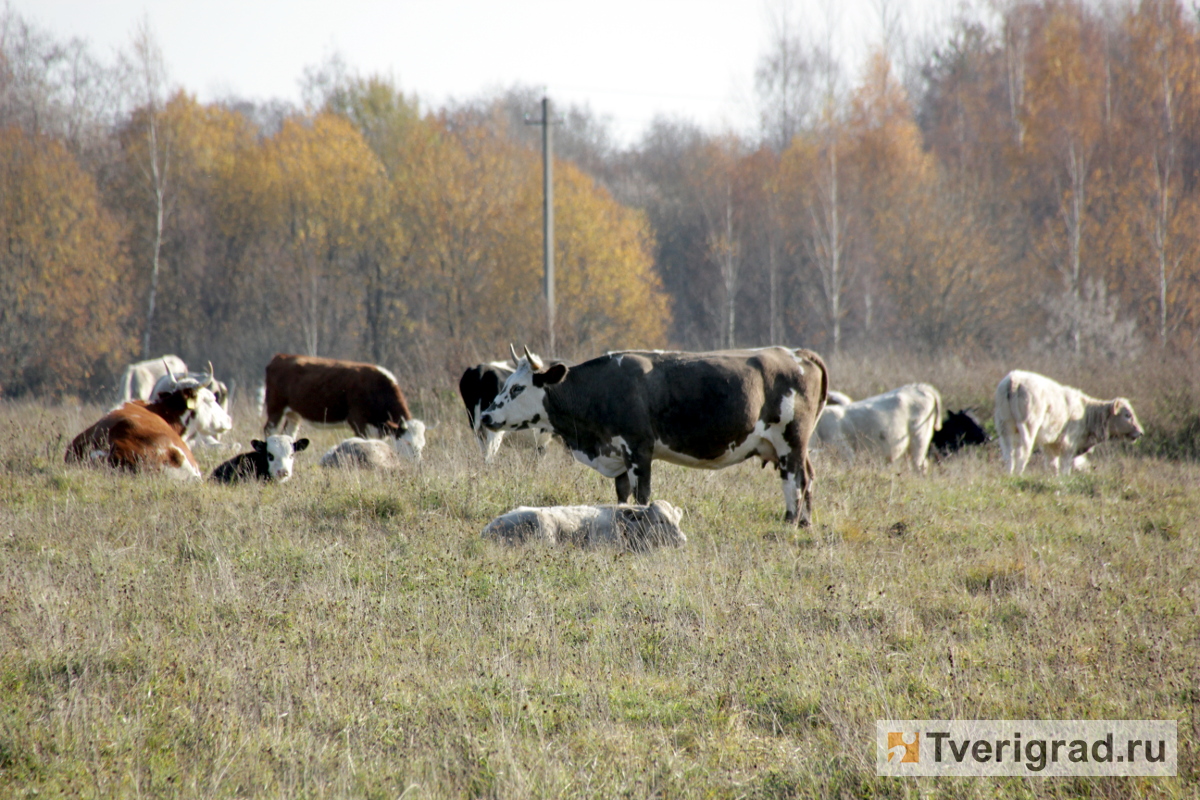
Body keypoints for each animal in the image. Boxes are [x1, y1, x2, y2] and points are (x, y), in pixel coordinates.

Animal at [477, 347, 825, 527]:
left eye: (517, 388)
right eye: (505, 383)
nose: (486, 416)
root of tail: (796, 353)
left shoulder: (638, 450)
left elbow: (642, 496)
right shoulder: (617, 456)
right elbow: (621, 497)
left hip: (790, 441)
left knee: (795, 481)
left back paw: (791, 523)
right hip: (795, 446)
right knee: (808, 478)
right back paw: (805, 523)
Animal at [993, 371, 1142, 474]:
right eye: (1127, 415)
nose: (1140, 432)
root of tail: (1014, 379)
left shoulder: (1050, 444)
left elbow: (1052, 465)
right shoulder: (1068, 444)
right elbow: (1064, 466)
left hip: (1004, 427)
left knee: (1008, 454)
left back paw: (1009, 474)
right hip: (1028, 427)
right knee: (1022, 453)